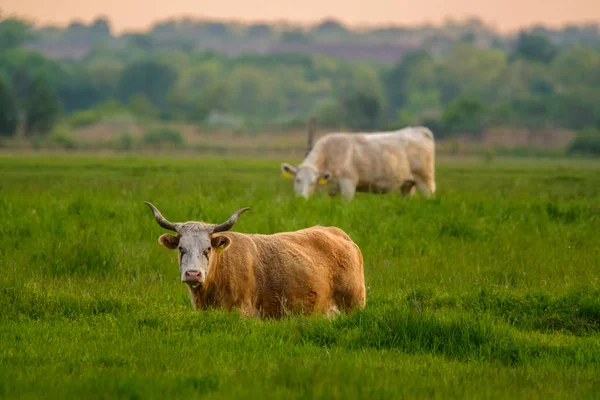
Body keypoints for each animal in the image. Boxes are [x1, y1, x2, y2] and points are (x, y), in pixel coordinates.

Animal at [282, 125, 436, 200]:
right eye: (297, 180)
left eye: (313, 183)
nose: (302, 198)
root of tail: (419, 130)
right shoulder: (332, 189)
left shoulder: (348, 184)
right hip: (407, 184)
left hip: (425, 180)